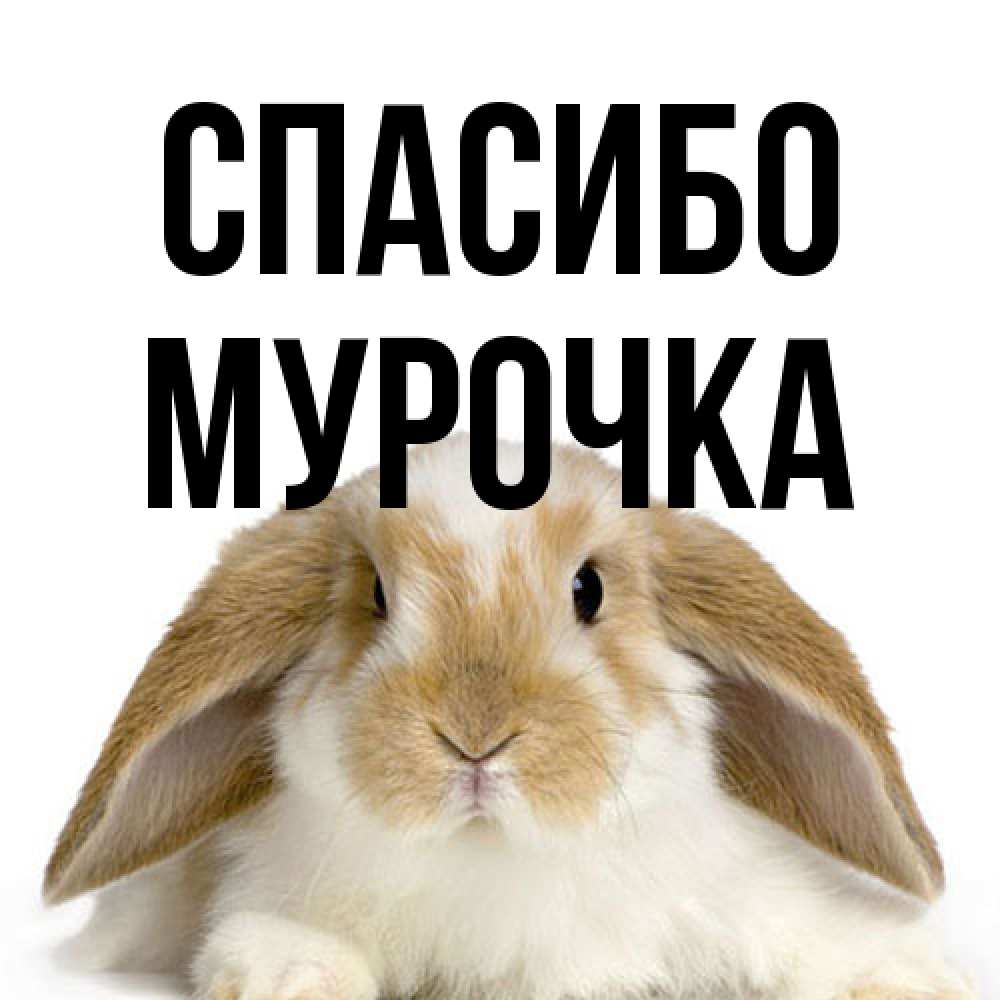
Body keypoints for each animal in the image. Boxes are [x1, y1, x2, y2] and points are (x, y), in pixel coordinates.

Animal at [45, 436, 975, 1000]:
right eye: (375, 596)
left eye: (589, 589)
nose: (475, 737)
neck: (495, 857)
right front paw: (290, 976)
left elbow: (815, 938)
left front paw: (909, 977)